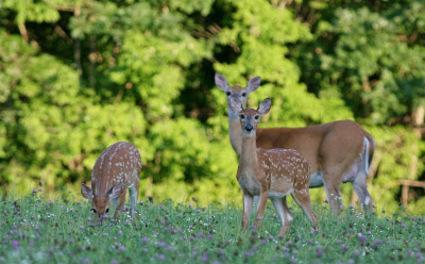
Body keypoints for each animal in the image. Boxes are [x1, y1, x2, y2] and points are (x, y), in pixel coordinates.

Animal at [215, 73, 374, 213]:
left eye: (244, 93)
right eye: (228, 92)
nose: (235, 104)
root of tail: (364, 134)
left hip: (333, 167)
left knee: (337, 206)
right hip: (359, 175)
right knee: (368, 202)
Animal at [230, 97, 316, 235]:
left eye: (256, 116)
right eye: (242, 115)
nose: (249, 127)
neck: (252, 168)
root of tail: (307, 163)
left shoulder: (265, 186)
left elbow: (258, 217)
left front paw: (253, 237)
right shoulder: (246, 190)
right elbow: (244, 219)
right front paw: (242, 237)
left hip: (301, 186)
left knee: (313, 216)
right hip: (278, 195)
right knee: (288, 217)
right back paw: (279, 238)